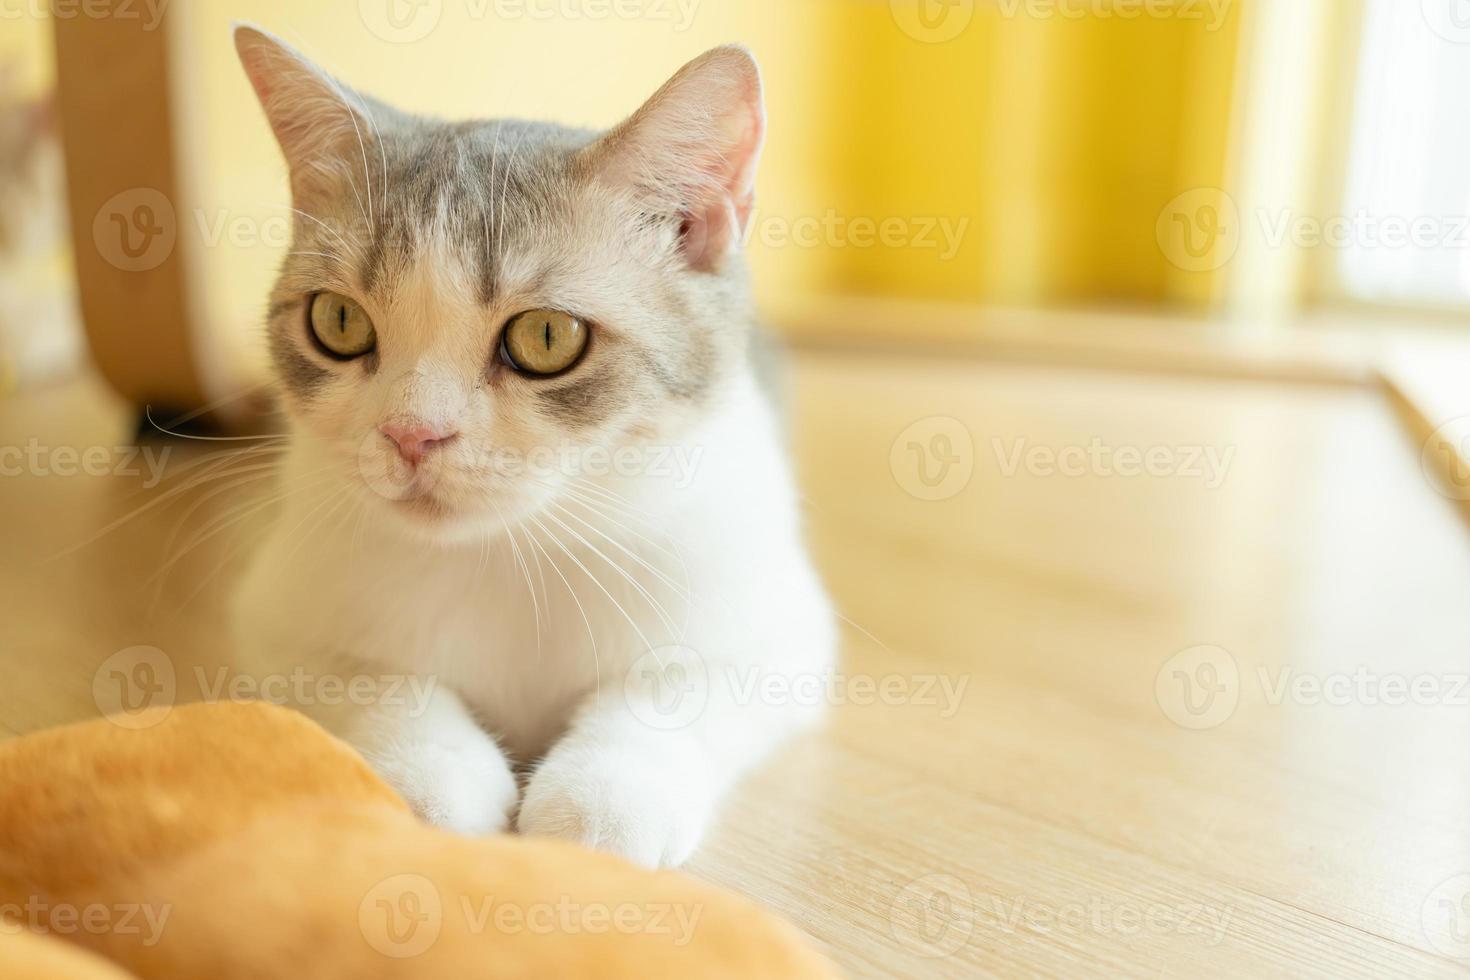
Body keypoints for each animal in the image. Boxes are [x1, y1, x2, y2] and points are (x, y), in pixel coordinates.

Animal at [224, 24, 834, 863]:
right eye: (338, 322)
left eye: (547, 337)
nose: (412, 433)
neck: (506, 558)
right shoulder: (277, 615)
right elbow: (370, 680)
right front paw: (434, 775)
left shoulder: (777, 626)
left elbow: (678, 686)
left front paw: (607, 795)